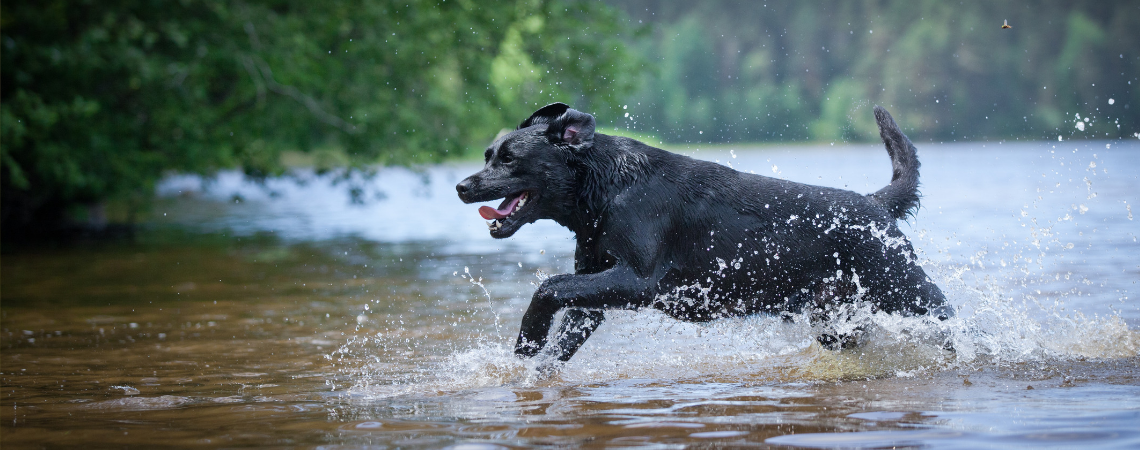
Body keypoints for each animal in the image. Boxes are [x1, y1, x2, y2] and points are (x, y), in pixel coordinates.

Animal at [456, 104, 953, 364]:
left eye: (508, 158)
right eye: (487, 155)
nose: (462, 186)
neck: (607, 187)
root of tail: (875, 205)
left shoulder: (637, 281)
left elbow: (548, 286)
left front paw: (529, 336)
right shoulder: (595, 287)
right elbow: (564, 319)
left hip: (906, 290)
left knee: (949, 321)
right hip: (837, 318)